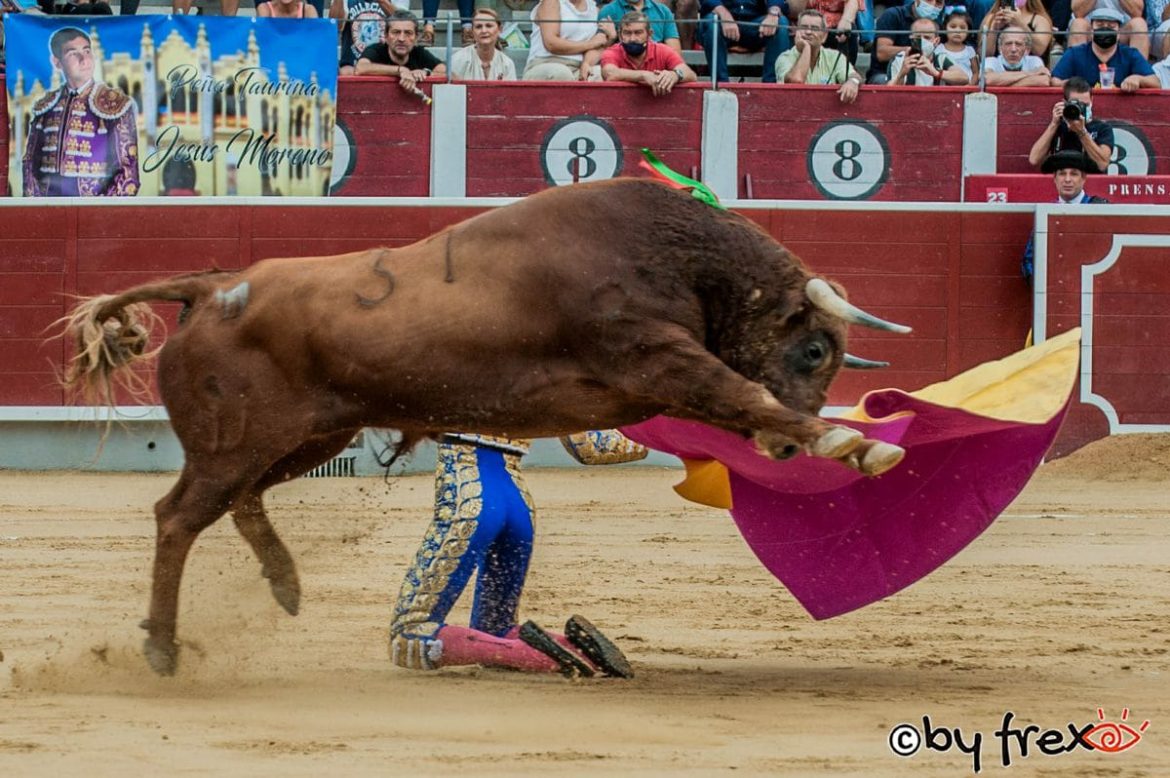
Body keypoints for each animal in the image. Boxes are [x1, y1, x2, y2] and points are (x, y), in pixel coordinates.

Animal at [59, 177, 907, 673]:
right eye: (814, 347)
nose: (787, 444)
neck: (674, 253)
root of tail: (215, 287)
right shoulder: (653, 356)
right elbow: (736, 390)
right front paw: (858, 444)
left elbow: (725, 401)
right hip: (237, 442)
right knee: (178, 515)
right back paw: (162, 647)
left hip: (310, 436)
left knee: (239, 502)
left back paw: (284, 583)